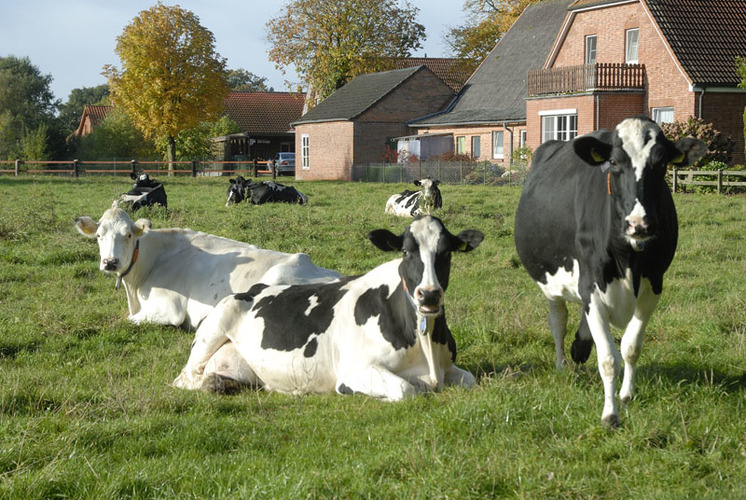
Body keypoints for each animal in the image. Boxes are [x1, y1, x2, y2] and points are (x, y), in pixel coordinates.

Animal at [172, 216, 482, 402]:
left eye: (446, 252)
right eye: (406, 252)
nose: (428, 295)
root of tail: (253, 289)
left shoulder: (451, 367)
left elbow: (471, 379)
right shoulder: (354, 372)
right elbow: (407, 389)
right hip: (214, 326)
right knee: (185, 378)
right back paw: (212, 384)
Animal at [512, 116, 704, 426]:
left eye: (662, 164)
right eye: (614, 162)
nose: (639, 224)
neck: (628, 259)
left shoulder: (653, 287)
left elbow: (630, 347)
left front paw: (626, 395)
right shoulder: (590, 286)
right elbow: (608, 359)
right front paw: (610, 414)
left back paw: (579, 348)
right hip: (552, 284)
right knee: (558, 322)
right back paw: (562, 364)